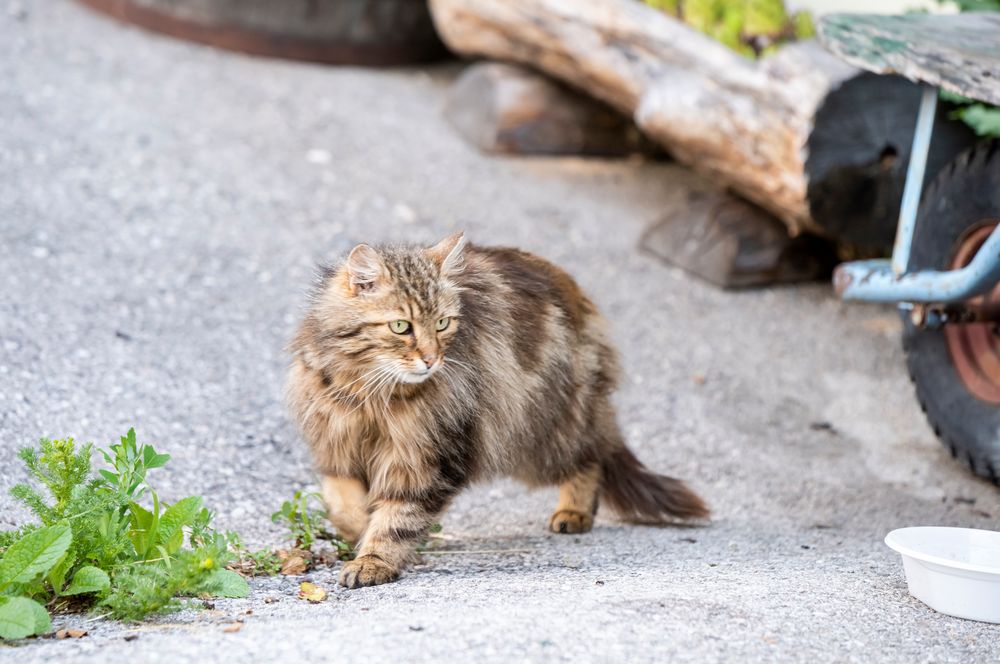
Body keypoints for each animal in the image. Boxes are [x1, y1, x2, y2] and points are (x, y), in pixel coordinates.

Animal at [286, 232, 708, 588]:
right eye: (401, 326)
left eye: (442, 324)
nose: (432, 360)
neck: (370, 391)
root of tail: (578, 297)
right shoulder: (337, 443)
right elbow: (342, 504)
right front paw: (358, 530)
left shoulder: (428, 455)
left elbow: (398, 518)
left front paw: (373, 560)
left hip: (541, 433)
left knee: (592, 458)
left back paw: (575, 512)